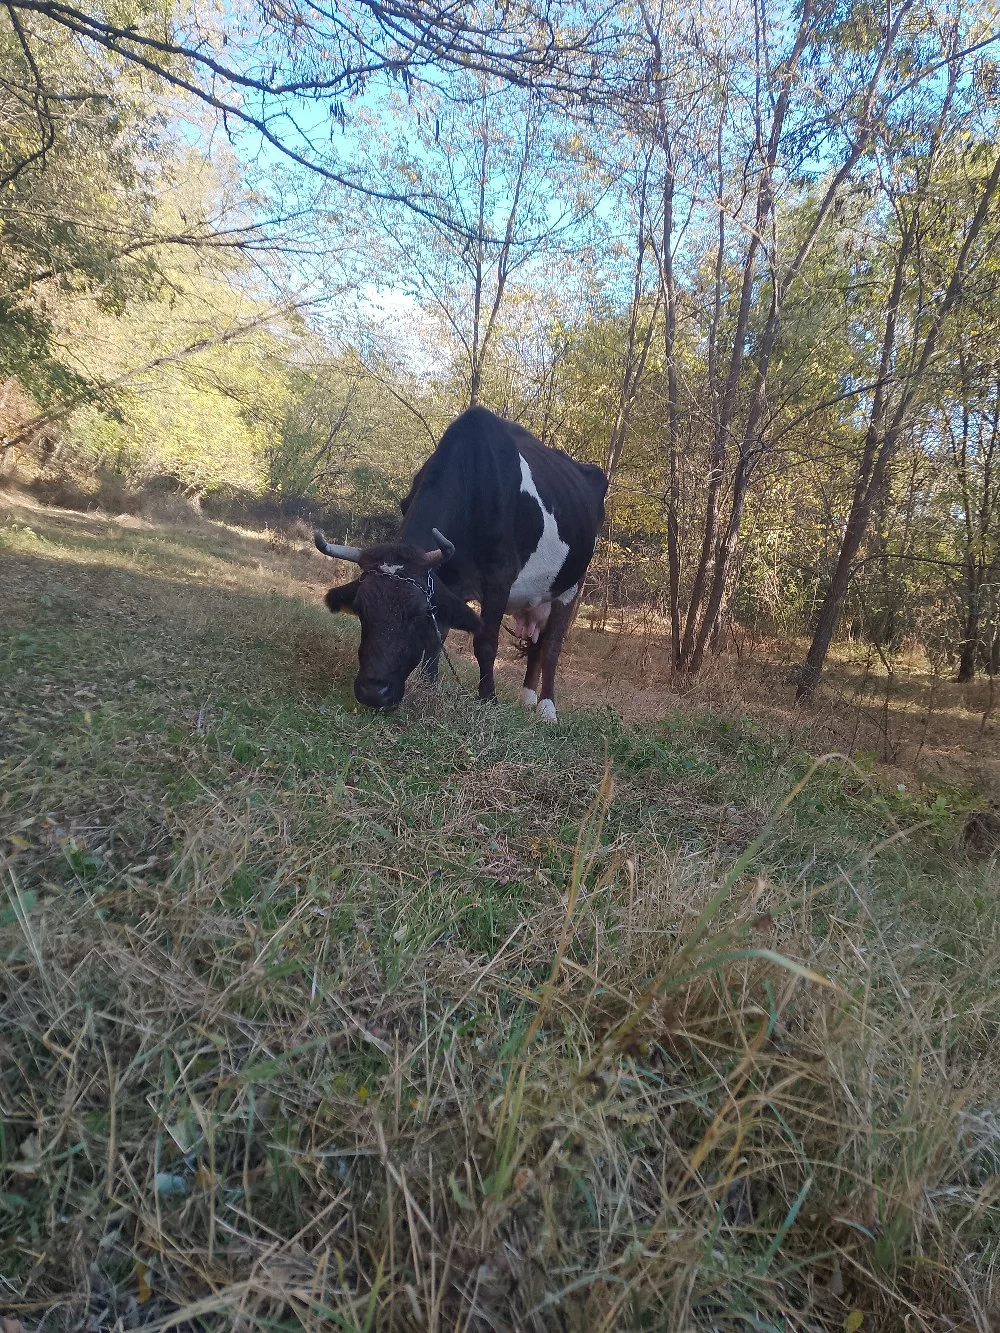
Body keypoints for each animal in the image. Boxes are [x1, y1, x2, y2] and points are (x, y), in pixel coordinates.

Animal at [314, 405, 608, 721]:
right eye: (361, 611)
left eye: (415, 615)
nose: (373, 691)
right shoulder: (445, 579)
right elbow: (437, 637)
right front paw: (429, 686)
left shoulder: (499, 578)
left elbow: (486, 642)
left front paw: (488, 698)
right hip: (537, 596)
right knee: (536, 644)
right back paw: (527, 698)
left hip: (570, 586)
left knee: (551, 645)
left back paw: (547, 708)